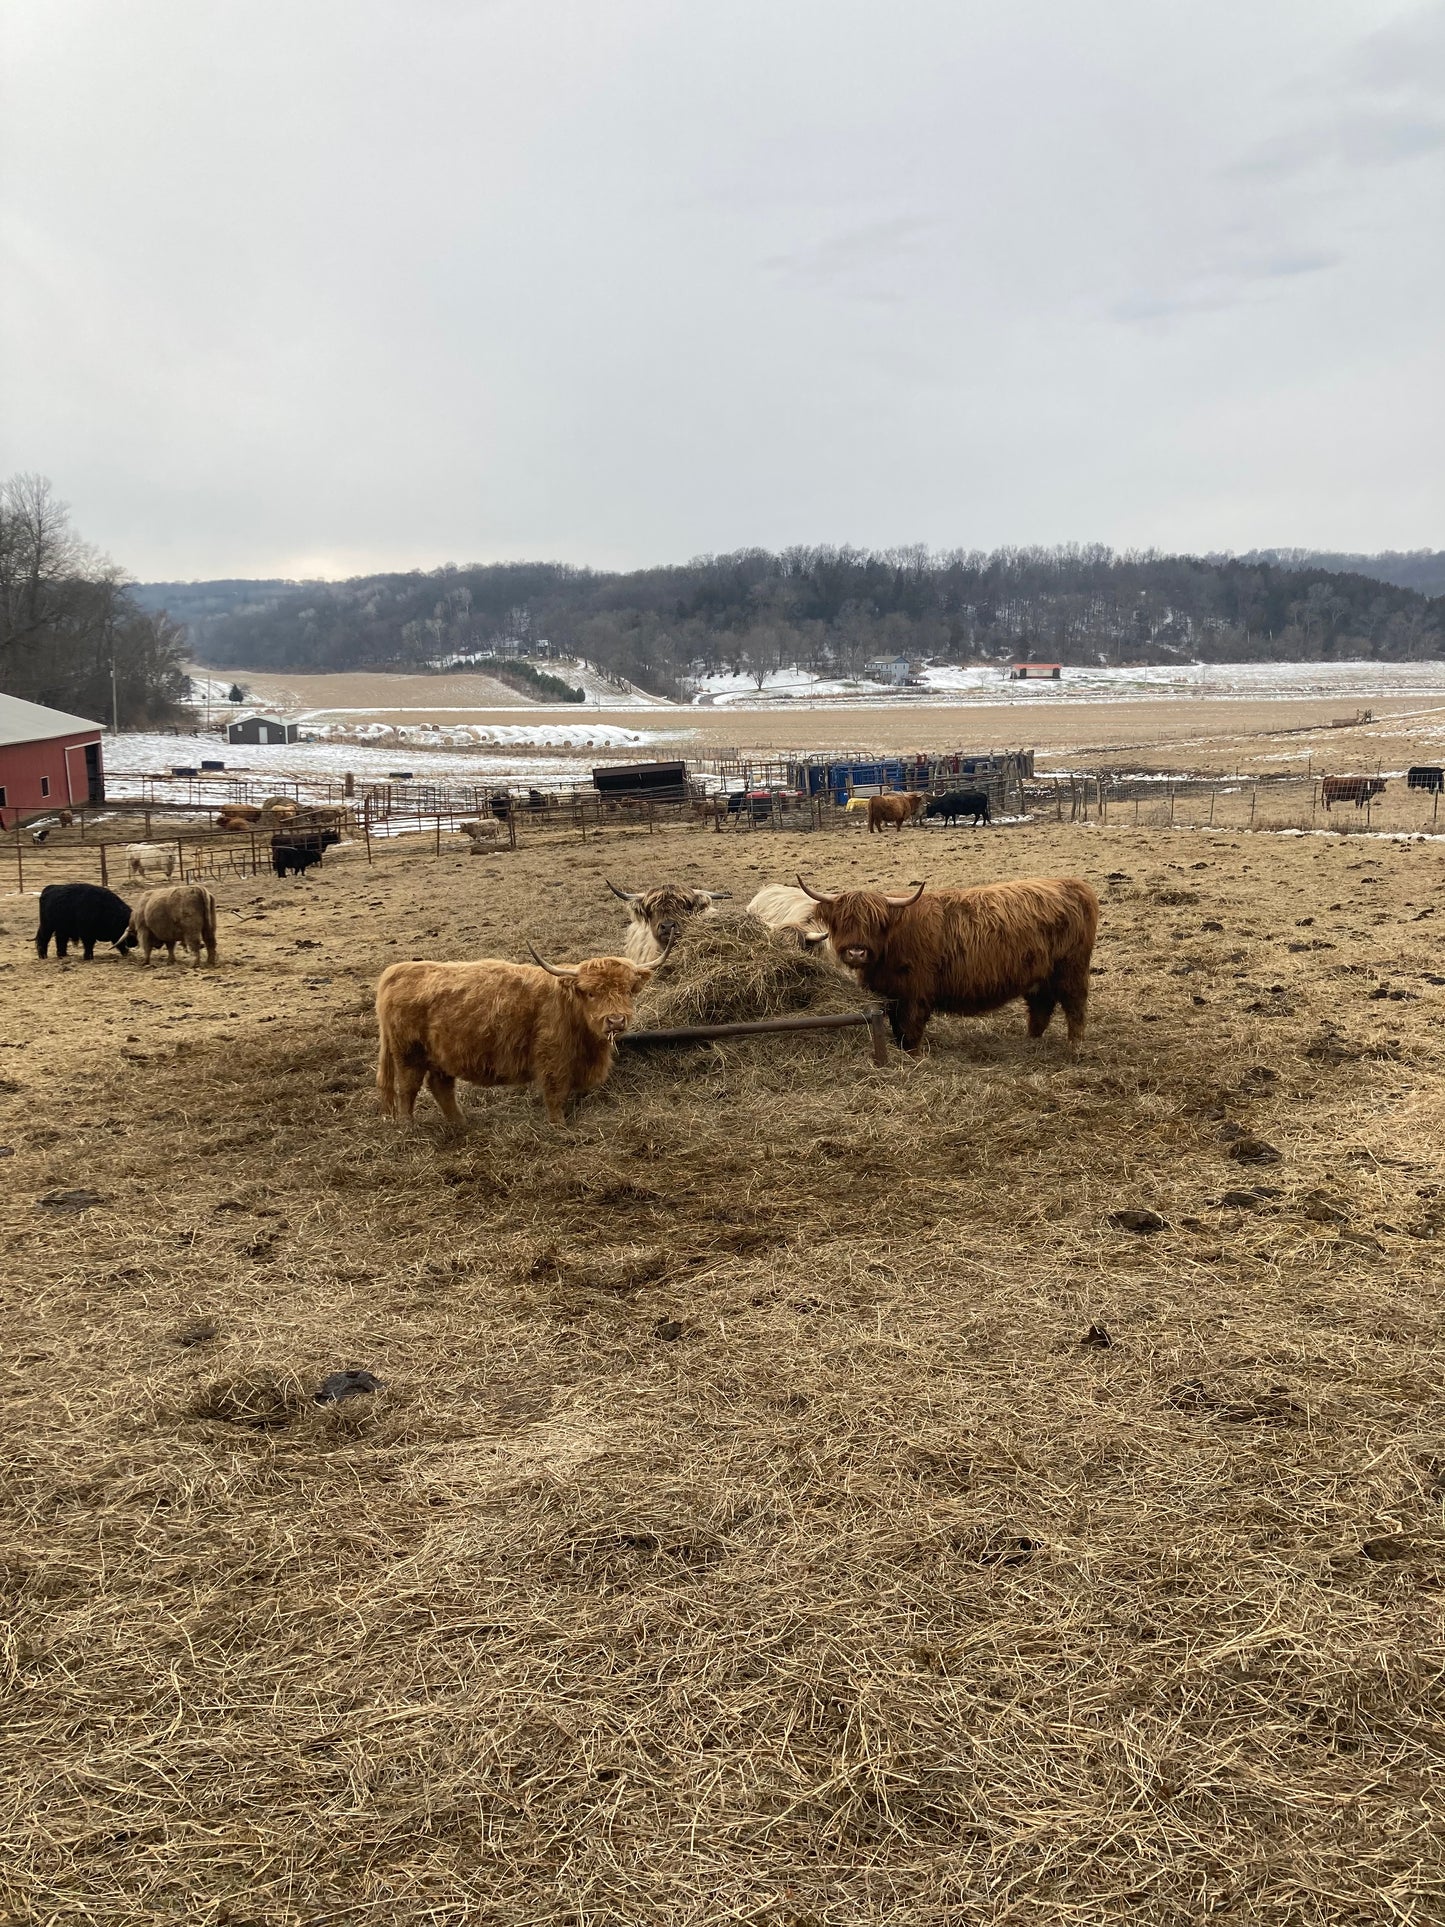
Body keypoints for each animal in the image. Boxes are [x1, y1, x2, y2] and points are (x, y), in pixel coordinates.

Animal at [375, 945, 655, 1128]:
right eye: (590, 993)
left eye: (628, 990)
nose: (615, 1020)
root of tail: (398, 970)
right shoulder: (552, 1058)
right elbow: (555, 1093)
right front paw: (559, 1126)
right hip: (409, 1054)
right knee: (407, 1088)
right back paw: (408, 1126)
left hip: (441, 1055)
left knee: (440, 1086)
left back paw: (461, 1123)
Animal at [795, 872, 1099, 1052]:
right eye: (843, 921)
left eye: (875, 923)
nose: (856, 953)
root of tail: (1073, 885)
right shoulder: (890, 995)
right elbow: (896, 1027)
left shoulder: (916, 993)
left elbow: (910, 1027)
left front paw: (913, 1055)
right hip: (1039, 975)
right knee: (1040, 1007)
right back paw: (1030, 1041)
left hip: (1071, 970)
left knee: (1074, 1006)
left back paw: (1074, 1046)